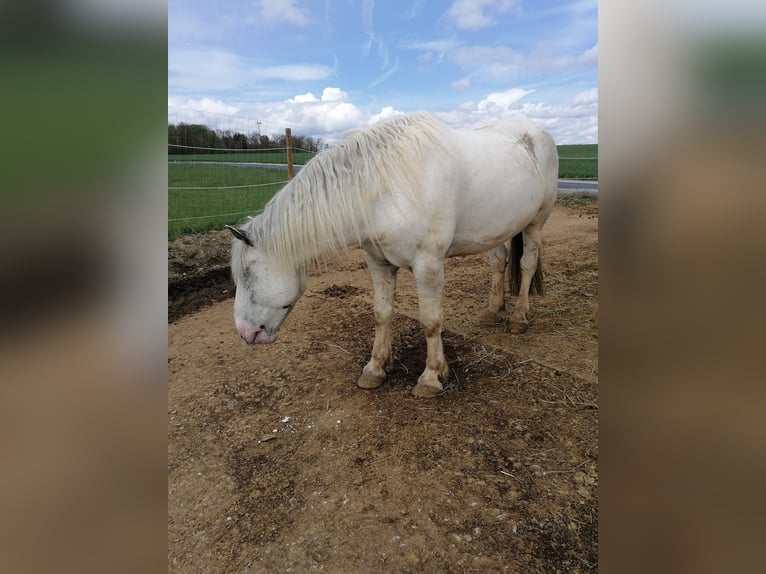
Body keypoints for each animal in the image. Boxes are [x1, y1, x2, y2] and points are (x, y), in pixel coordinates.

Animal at [228, 113, 560, 400]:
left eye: (247, 274)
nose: (245, 333)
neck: (384, 187)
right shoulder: (379, 263)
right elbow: (382, 313)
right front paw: (375, 369)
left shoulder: (428, 266)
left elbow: (430, 321)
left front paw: (431, 377)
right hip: (499, 228)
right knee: (499, 262)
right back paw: (493, 309)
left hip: (535, 224)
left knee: (527, 265)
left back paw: (518, 318)